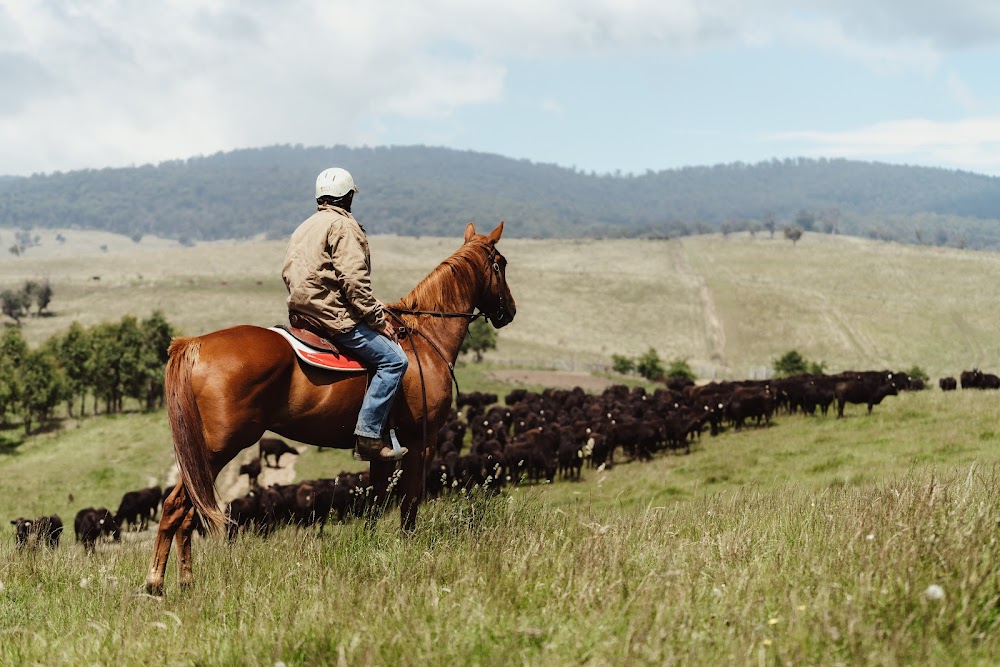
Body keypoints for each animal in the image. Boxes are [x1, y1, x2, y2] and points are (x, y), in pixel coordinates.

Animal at [146, 222, 516, 592]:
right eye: (501, 264)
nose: (509, 311)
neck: (424, 341)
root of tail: (194, 344)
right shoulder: (421, 442)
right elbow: (409, 501)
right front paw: (409, 546)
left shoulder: (380, 449)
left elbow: (375, 502)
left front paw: (370, 546)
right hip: (217, 449)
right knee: (179, 507)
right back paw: (158, 583)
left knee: (184, 511)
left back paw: (179, 582)